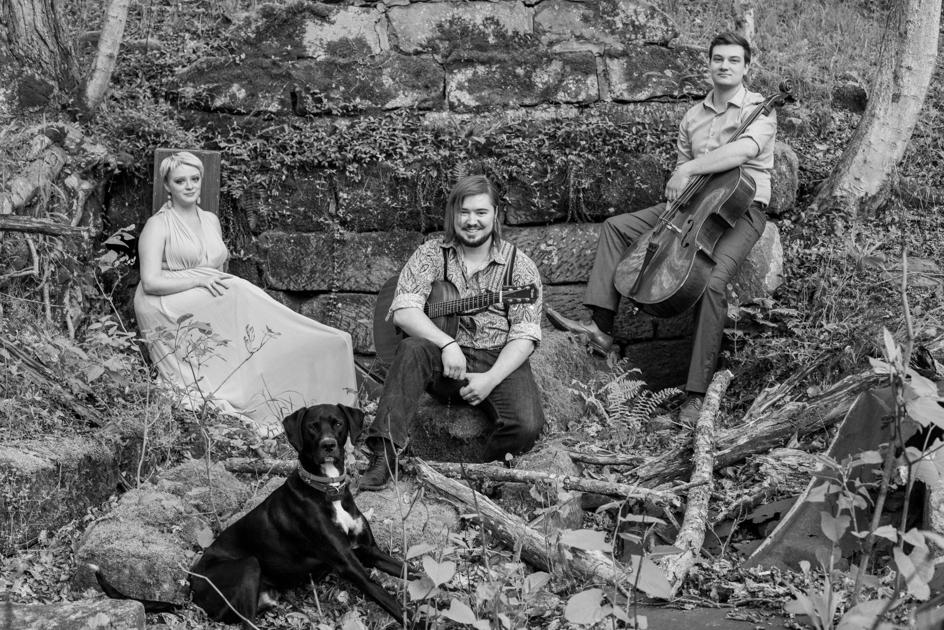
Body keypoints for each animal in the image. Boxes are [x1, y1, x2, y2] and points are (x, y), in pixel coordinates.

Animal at [188, 403, 414, 625]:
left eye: (338, 423)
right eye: (312, 426)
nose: (328, 445)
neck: (328, 489)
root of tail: (192, 587)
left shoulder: (369, 550)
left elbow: (412, 572)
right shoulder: (348, 565)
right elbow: (388, 599)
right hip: (248, 566)